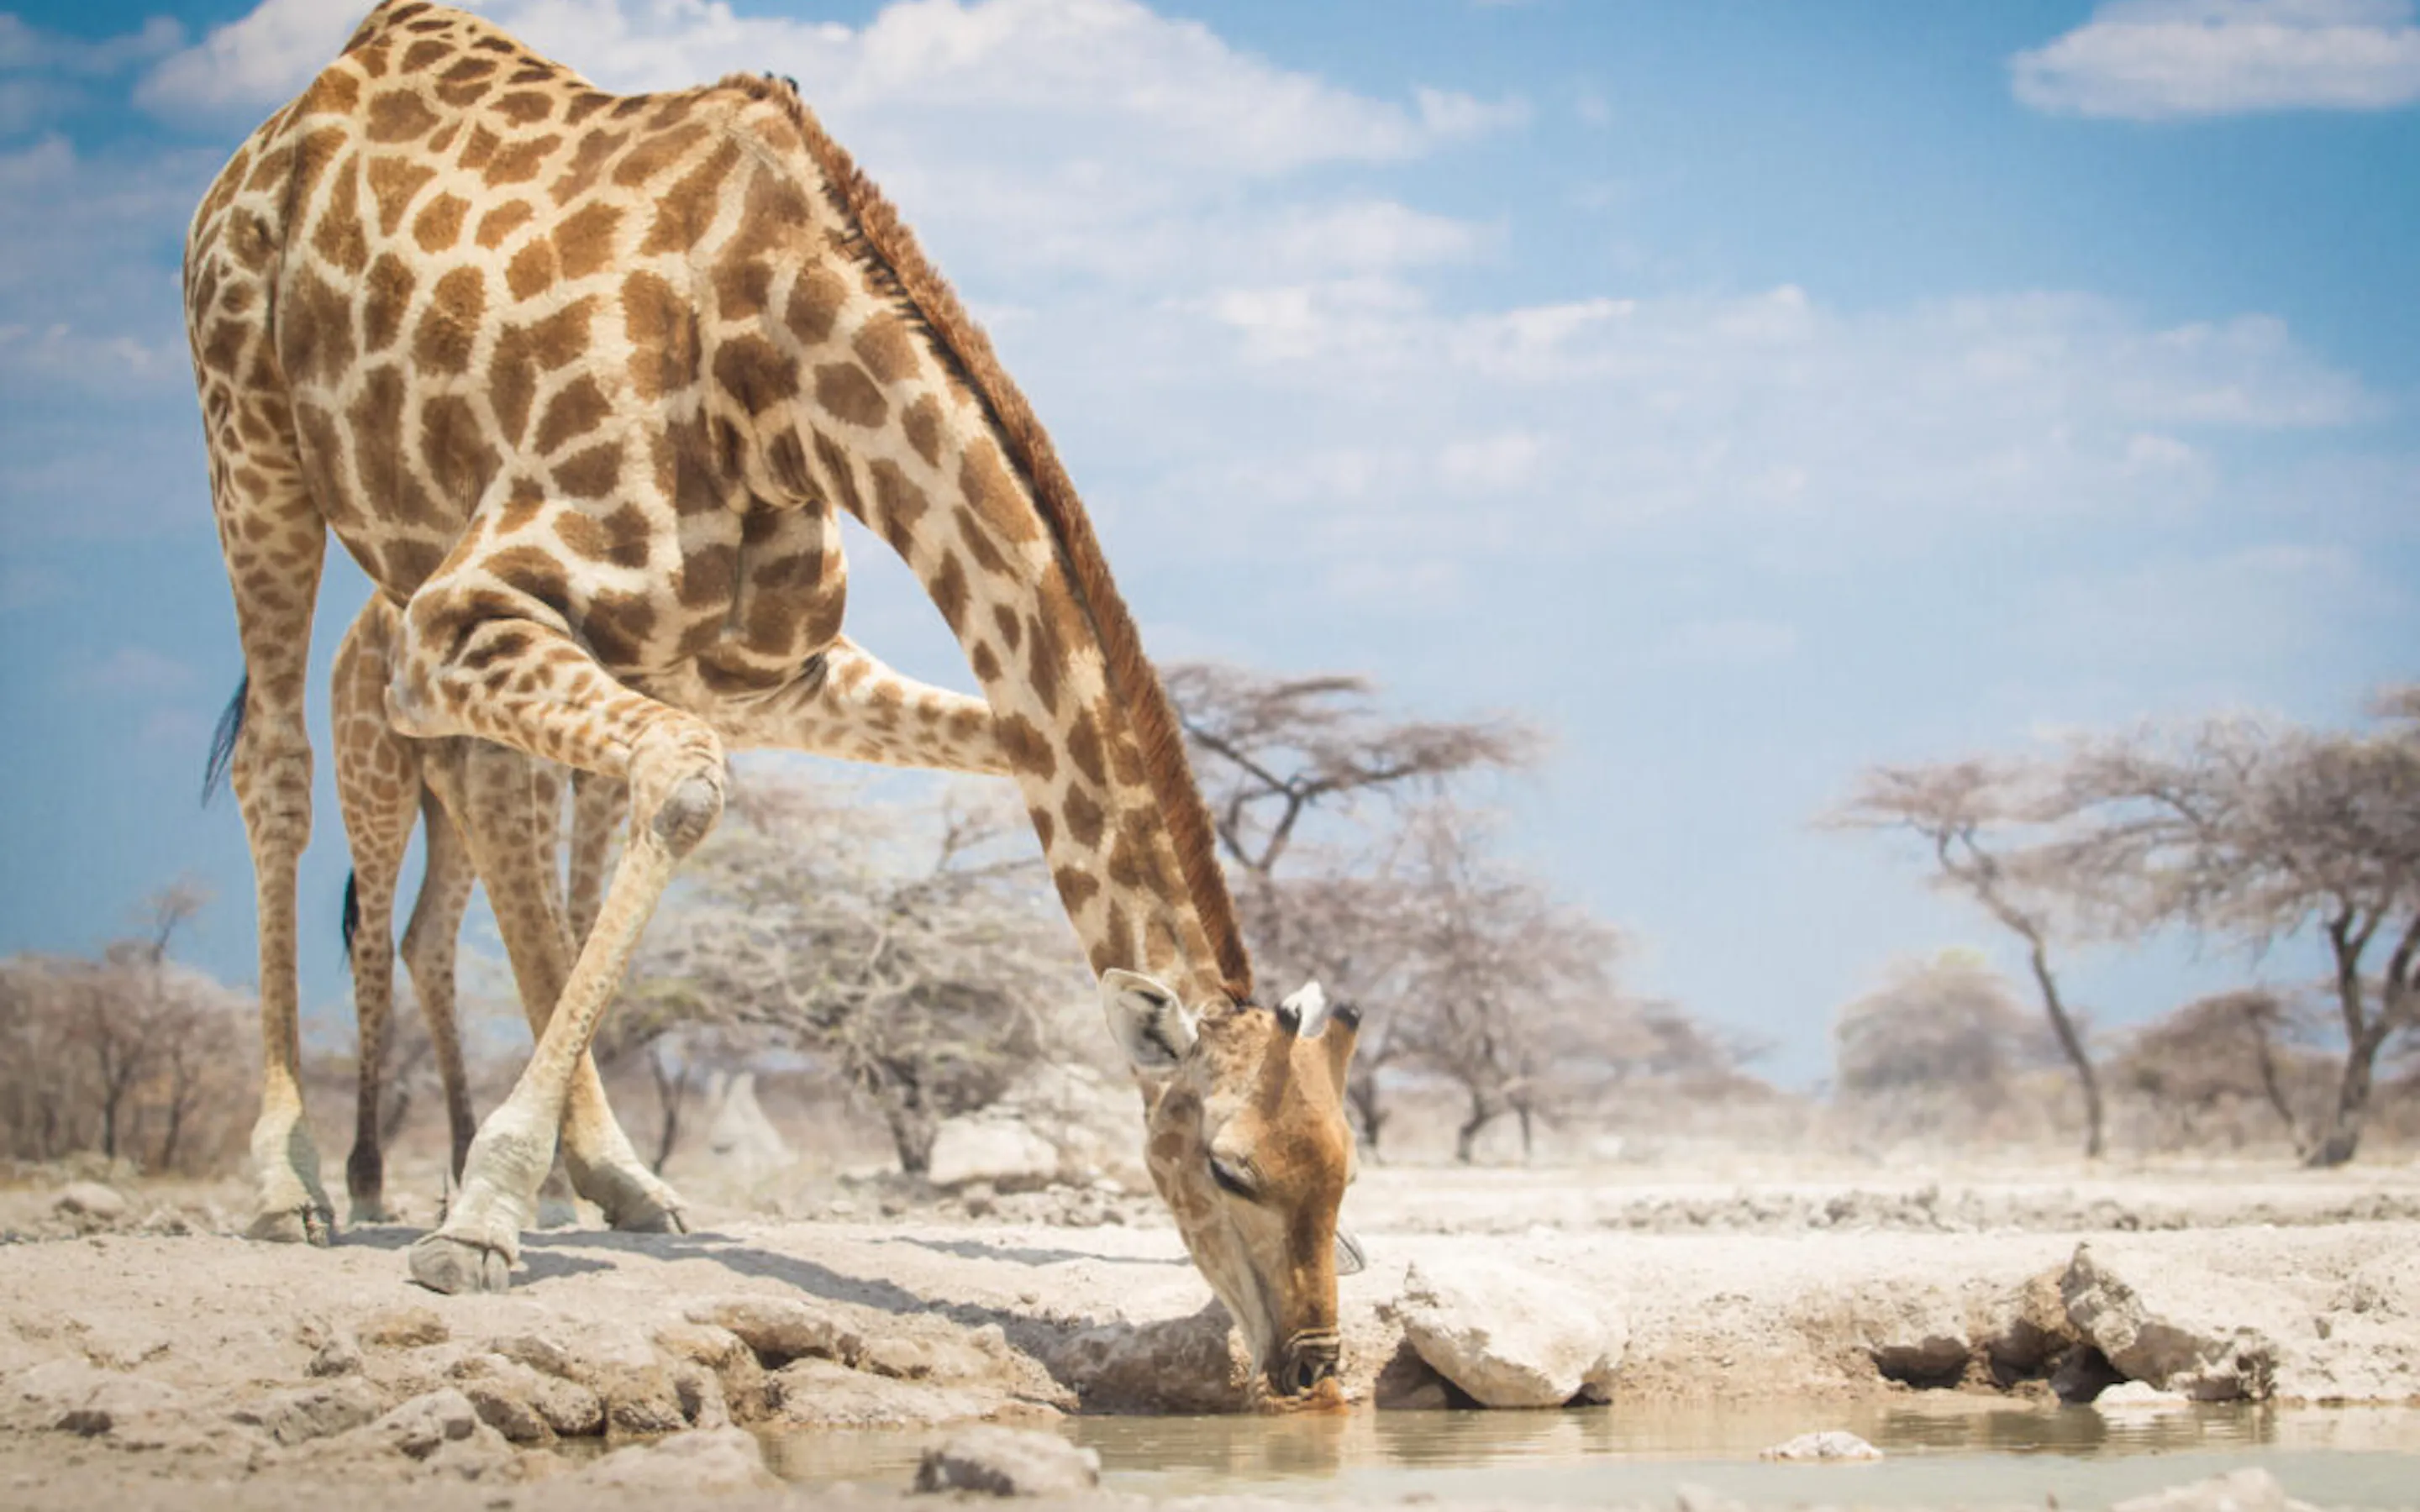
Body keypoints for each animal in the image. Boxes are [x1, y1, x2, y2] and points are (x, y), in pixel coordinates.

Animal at [182, 0, 1361, 1401]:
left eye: (1348, 1171)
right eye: (1229, 1167)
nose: (1314, 1365)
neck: (783, 374)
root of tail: (304, 103)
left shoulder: (760, 671)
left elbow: (969, 753)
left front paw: (535, 1184)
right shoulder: (456, 620)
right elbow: (687, 790)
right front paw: (476, 1219)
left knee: (504, 830)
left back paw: (610, 1178)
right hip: (250, 432)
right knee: (279, 771)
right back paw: (304, 1183)